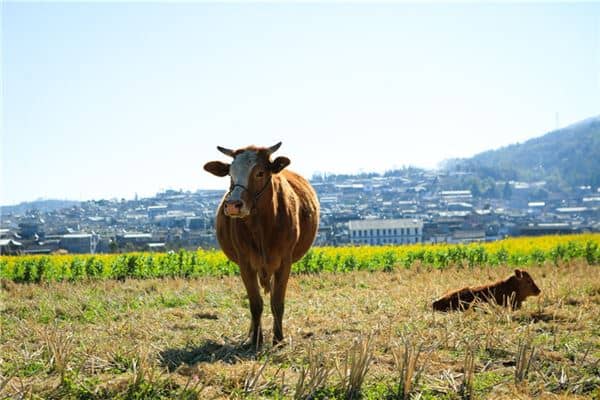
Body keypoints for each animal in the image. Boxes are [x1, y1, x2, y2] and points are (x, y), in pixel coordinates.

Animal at [204, 142, 318, 346]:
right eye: (230, 174)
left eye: (260, 173)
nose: (232, 205)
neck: (262, 227)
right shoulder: (245, 264)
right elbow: (255, 304)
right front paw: (256, 339)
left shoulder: (284, 263)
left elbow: (277, 302)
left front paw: (278, 339)